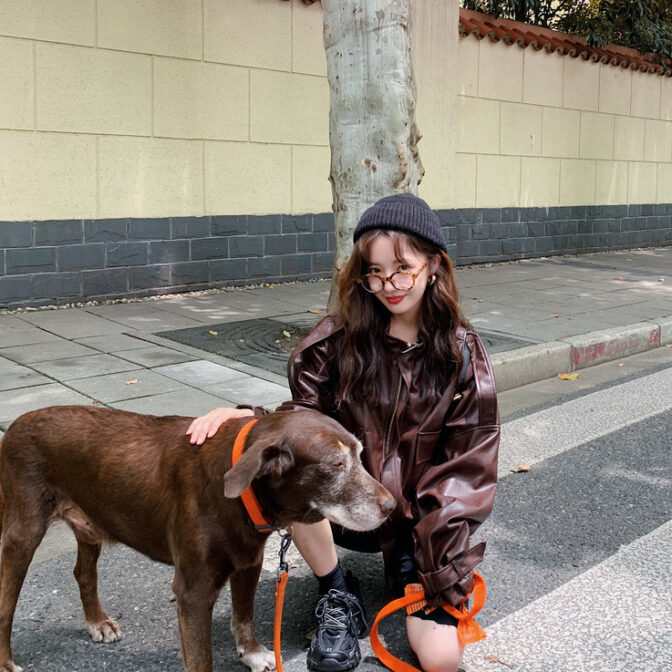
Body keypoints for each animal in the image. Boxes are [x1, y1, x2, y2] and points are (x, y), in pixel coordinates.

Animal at [0, 406, 394, 672]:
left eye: (360, 456)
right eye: (335, 466)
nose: (392, 506)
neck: (240, 491)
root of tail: (15, 423)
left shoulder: (248, 564)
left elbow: (244, 615)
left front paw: (252, 653)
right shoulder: (193, 591)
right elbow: (201, 656)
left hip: (90, 524)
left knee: (84, 572)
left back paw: (97, 622)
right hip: (22, 532)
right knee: (6, 604)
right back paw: (6, 661)